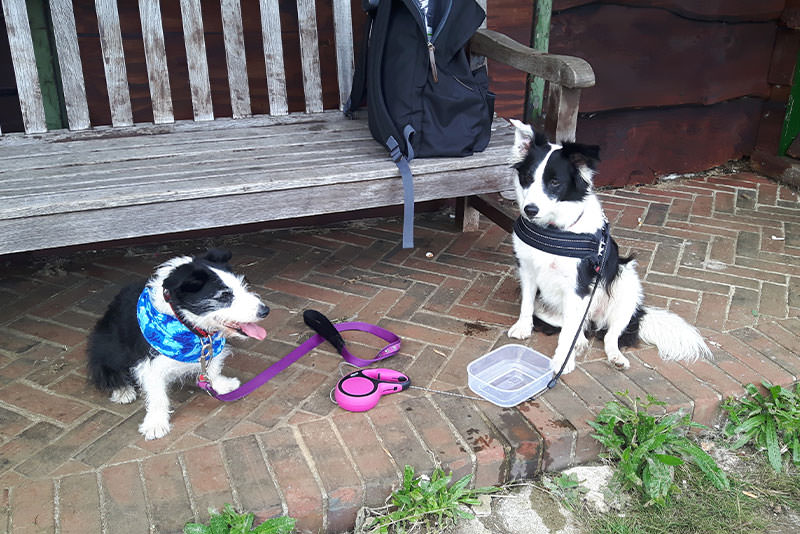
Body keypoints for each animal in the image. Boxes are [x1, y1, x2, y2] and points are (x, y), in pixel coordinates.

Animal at [87, 249, 268, 442]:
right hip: (108, 346)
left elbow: (213, 367)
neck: (185, 326)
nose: (265, 311)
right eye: (224, 296)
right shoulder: (149, 362)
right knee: (103, 369)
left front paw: (220, 384)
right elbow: (157, 395)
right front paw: (155, 423)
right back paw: (122, 390)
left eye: (243, 285)